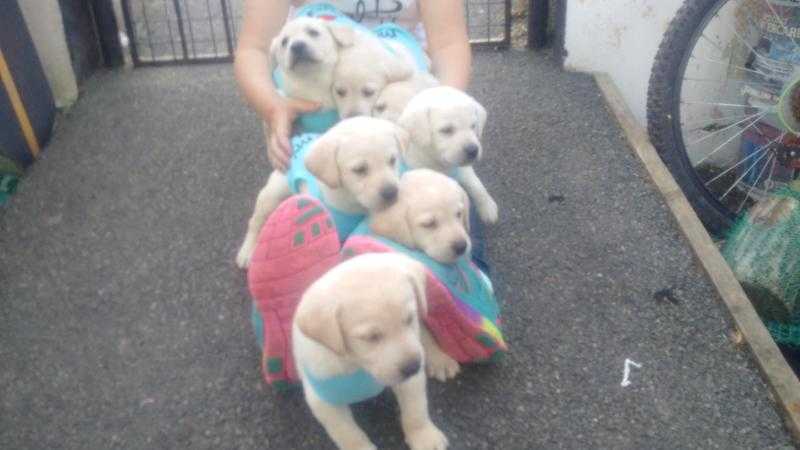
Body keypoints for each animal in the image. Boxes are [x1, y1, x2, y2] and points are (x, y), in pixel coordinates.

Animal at [234, 118, 404, 268]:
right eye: (359, 169)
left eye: (392, 160)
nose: (391, 193)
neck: (350, 201)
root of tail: (296, 139)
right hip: (273, 192)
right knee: (256, 220)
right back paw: (247, 251)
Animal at [292, 253, 446, 450]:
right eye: (371, 337)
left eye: (409, 319)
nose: (413, 367)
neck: (356, 365)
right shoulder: (323, 401)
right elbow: (348, 434)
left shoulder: (410, 378)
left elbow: (416, 409)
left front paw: (425, 436)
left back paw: (441, 360)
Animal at [396, 85, 496, 225]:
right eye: (446, 130)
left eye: (473, 126)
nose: (473, 150)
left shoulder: (462, 168)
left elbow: (476, 185)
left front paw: (488, 207)